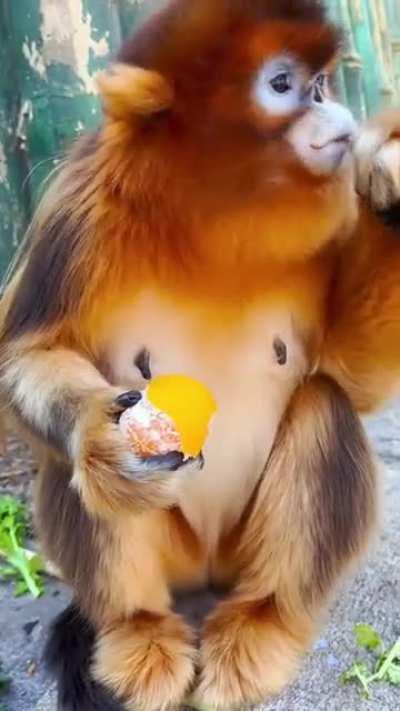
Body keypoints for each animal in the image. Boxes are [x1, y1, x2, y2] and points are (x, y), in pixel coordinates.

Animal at [1, 1, 400, 709]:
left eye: (323, 84)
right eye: (283, 85)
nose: (336, 111)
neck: (211, 222)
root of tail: (212, 568)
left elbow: (350, 378)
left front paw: (391, 181)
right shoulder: (77, 205)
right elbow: (31, 353)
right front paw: (98, 439)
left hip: (243, 551)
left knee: (323, 406)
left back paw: (262, 623)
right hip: (175, 548)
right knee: (75, 469)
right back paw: (140, 632)